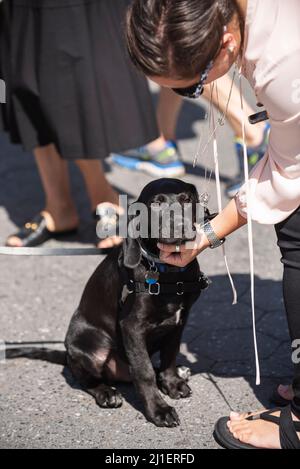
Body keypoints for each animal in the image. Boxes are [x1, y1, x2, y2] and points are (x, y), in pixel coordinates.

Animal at [64, 177, 210, 426]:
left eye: (186, 199)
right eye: (156, 204)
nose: (181, 227)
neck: (168, 273)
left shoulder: (179, 321)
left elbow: (170, 354)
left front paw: (172, 382)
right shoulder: (131, 326)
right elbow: (144, 371)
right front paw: (158, 409)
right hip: (85, 344)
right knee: (86, 378)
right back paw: (107, 393)